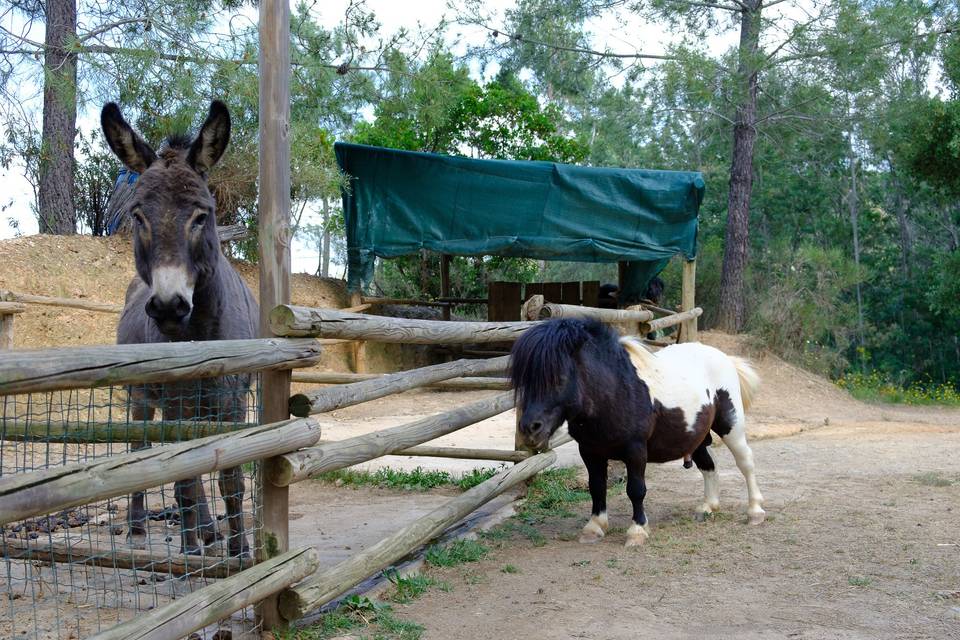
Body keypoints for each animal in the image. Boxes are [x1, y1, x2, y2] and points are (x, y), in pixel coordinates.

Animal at [510, 318, 764, 548]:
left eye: (559, 378)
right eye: (524, 379)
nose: (530, 428)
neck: (614, 392)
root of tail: (724, 357)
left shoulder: (636, 450)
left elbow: (636, 490)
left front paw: (637, 531)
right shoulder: (590, 451)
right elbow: (596, 486)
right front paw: (595, 527)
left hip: (731, 427)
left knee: (746, 462)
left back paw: (755, 511)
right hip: (695, 437)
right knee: (709, 466)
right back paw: (708, 506)